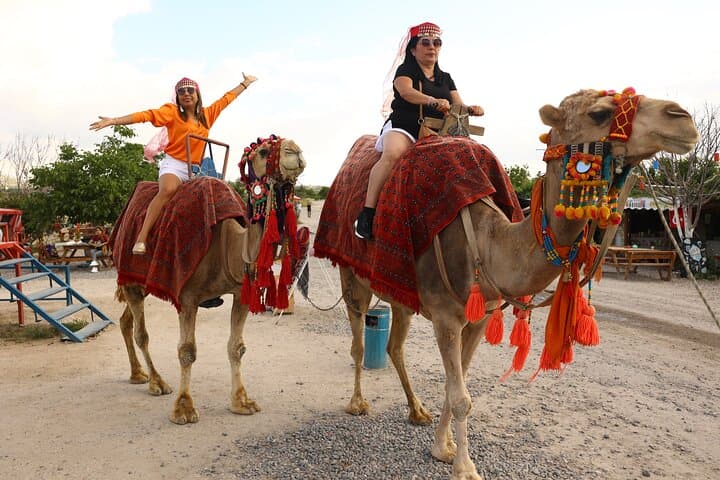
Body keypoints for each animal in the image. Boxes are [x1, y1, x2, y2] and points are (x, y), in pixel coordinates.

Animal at [115, 136, 305, 425]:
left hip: (141, 282)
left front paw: (242, 402)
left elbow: (237, 347)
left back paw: (138, 374)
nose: (296, 151)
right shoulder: (187, 297)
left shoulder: (241, 293)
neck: (227, 246)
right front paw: (183, 408)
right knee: (141, 332)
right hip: (130, 278)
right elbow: (187, 351)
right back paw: (157, 382)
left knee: (126, 321)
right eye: (263, 151)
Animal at [319, 89, 698, 479]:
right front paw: (465, 467)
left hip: (401, 294)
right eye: (599, 113)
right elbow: (461, 396)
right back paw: (357, 403)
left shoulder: (479, 317)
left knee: (394, 345)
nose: (682, 118)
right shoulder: (445, 317)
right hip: (352, 276)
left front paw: (443, 448)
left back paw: (416, 410)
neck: (487, 243)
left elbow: (456, 387)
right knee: (358, 343)